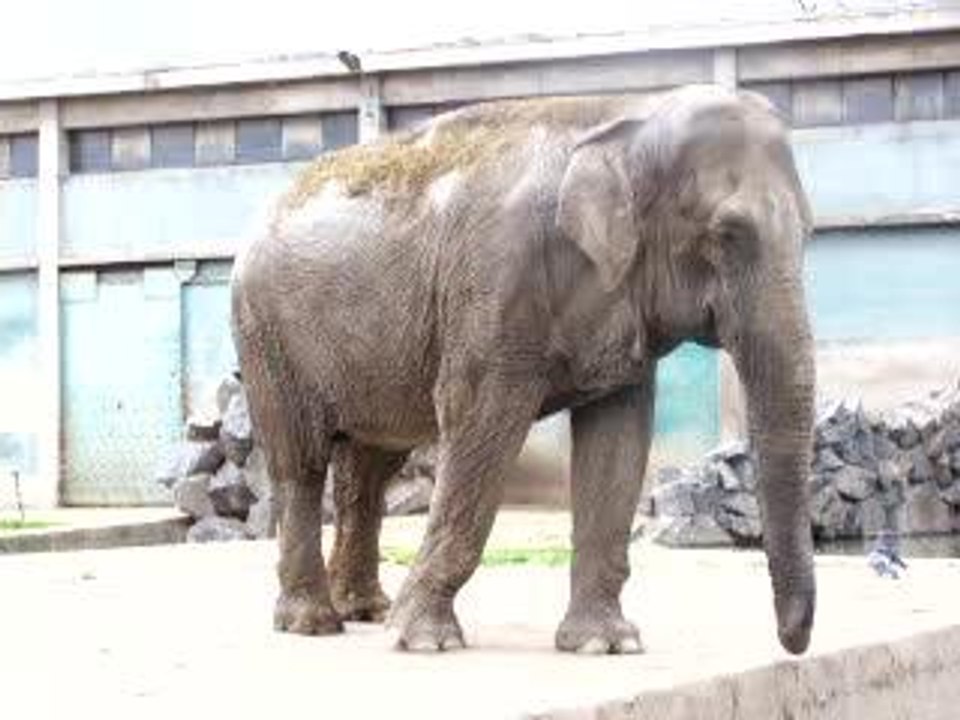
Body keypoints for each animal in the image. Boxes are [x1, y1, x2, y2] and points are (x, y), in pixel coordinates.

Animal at [231, 83, 817, 655]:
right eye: (727, 234)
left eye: (810, 233)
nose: (792, 643)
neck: (627, 117)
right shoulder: (495, 285)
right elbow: (481, 423)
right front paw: (424, 641)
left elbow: (618, 440)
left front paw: (606, 644)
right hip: (267, 335)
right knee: (301, 462)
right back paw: (313, 624)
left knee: (370, 469)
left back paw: (365, 611)